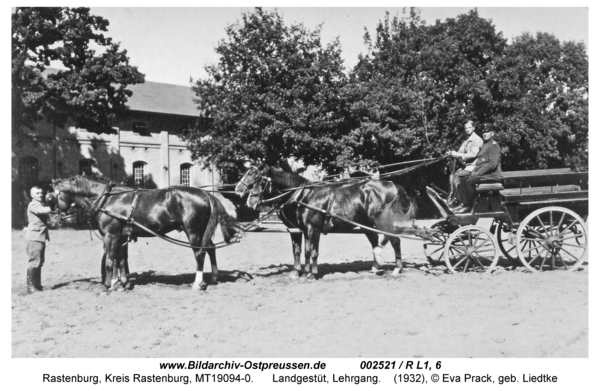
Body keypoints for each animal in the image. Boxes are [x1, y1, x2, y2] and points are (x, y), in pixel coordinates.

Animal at [52, 177, 239, 290]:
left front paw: (108, 286)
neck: (107, 199)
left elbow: (110, 261)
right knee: (210, 249)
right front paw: (122, 283)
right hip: (201, 232)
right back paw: (214, 278)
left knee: (199, 253)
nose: (54, 218)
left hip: (193, 231)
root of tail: (205, 194)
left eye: (52, 197)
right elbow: (120, 260)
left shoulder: (111, 235)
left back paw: (197, 283)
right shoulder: (120, 236)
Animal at [234, 164, 418, 280]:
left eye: (259, 181)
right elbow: (300, 251)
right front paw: (299, 272)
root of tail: (394, 185)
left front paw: (310, 273)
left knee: (395, 241)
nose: (248, 201)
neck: (303, 196)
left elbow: (311, 252)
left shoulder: (312, 229)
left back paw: (396, 268)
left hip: (383, 223)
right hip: (367, 223)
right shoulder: (298, 230)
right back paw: (376, 266)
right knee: (375, 241)